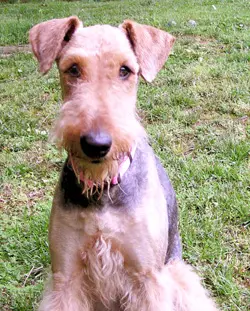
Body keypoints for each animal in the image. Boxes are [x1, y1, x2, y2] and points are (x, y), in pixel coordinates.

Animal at [28, 16, 218, 311]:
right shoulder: (66, 277)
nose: (96, 143)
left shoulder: (147, 277)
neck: (103, 188)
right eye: (73, 68)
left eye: (125, 70)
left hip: (178, 275)